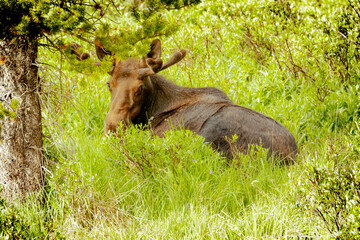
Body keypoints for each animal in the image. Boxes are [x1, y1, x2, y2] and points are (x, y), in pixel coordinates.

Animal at [73, 39, 298, 163]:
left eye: (140, 87)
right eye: (109, 84)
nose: (112, 126)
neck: (151, 111)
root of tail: (292, 158)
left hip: (211, 135)